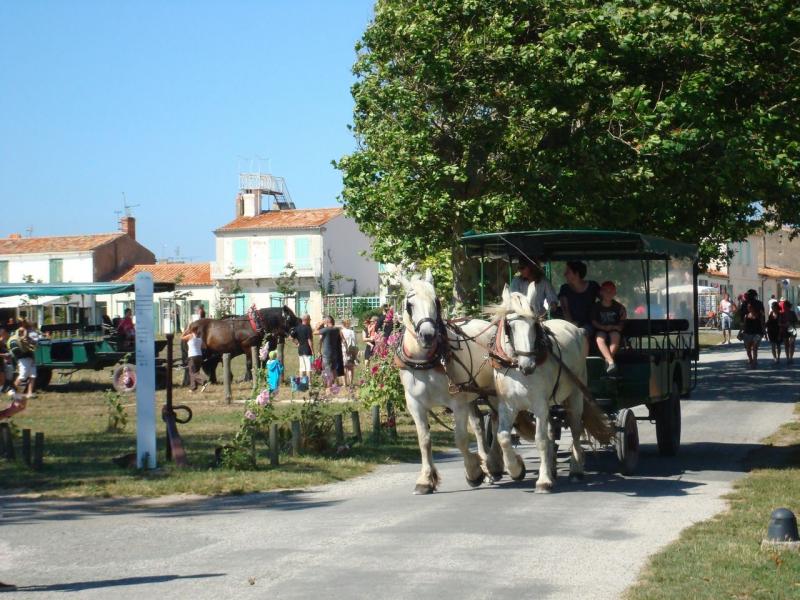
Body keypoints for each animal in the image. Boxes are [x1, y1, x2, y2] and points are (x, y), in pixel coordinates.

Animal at [396, 270, 532, 494]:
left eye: (436, 301)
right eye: (410, 304)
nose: (428, 335)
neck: (426, 360)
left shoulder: (457, 402)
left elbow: (460, 439)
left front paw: (474, 472)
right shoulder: (415, 403)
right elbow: (424, 440)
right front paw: (425, 480)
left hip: (493, 393)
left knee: (496, 422)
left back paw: (497, 464)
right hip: (473, 395)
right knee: (479, 425)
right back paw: (490, 463)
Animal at [488, 284, 612, 490]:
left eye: (534, 324)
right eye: (510, 327)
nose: (528, 365)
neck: (517, 368)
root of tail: (574, 327)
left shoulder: (539, 404)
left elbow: (540, 440)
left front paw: (543, 480)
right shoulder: (507, 406)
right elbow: (503, 437)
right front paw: (515, 470)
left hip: (575, 392)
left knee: (575, 427)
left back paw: (575, 469)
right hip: (551, 403)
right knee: (552, 429)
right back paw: (552, 468)